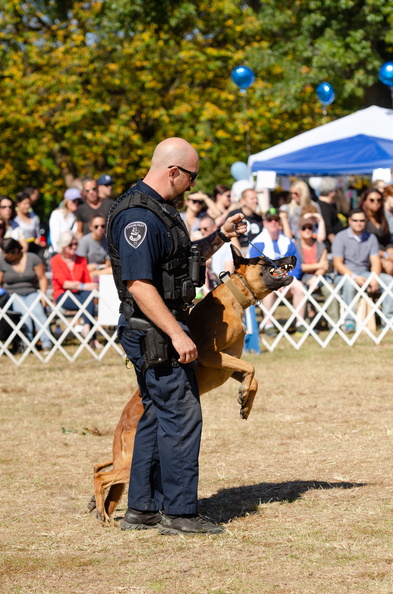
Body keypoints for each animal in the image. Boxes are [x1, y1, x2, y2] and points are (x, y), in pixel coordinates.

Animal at [89, 245, 294, 520]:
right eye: (262, 259)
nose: (293, 257)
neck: (235, 295)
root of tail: (121, 425)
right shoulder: (211, 355)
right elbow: (252, 367)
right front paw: (244, 397)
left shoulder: (228, 366)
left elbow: (253, 378)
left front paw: (246, 402)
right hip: (130, 464)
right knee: (101, 477)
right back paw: (103, 514)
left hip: (128, 460)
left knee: (100, 467)